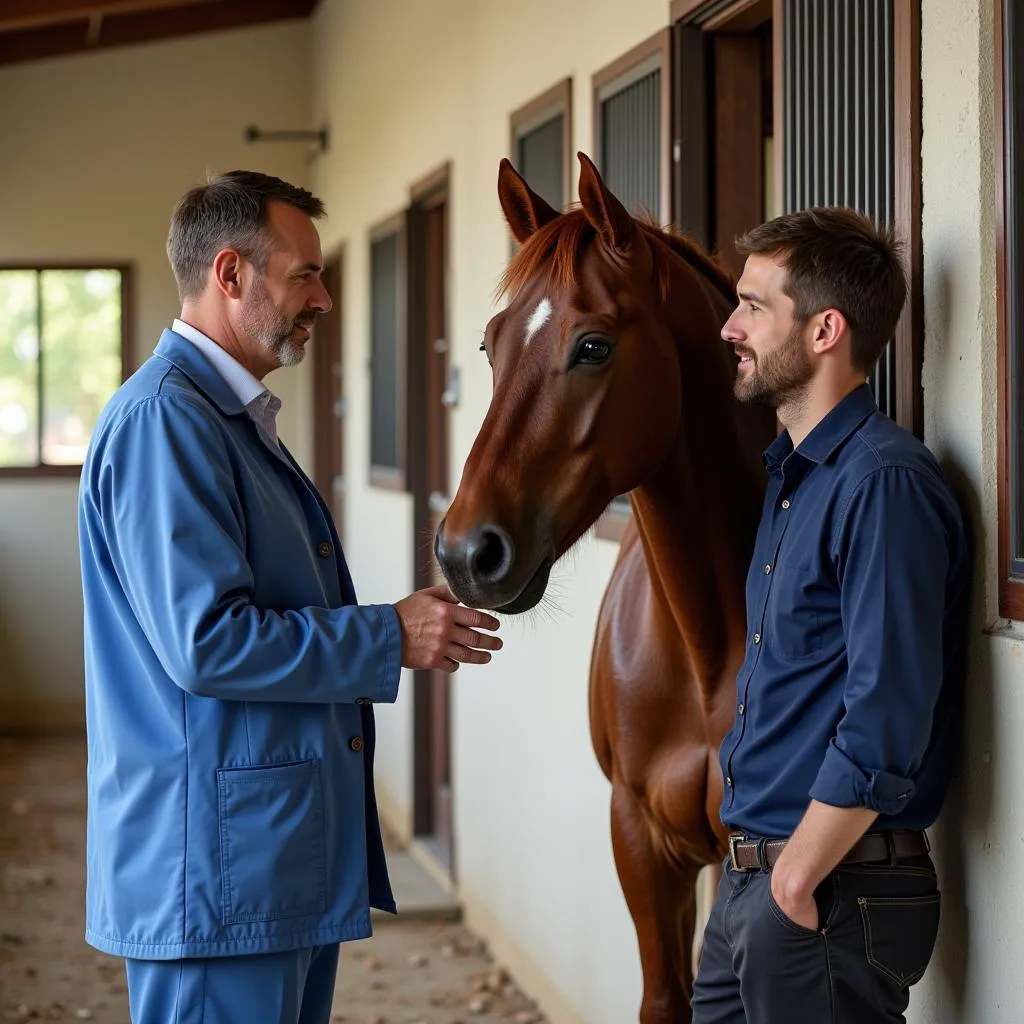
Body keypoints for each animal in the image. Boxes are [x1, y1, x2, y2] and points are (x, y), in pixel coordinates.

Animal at [432, 153, 774, 1024]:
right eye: (489, 345)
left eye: (592, 345)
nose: (465, 553)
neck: (708, 648)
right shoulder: (639, 841)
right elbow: (664, 999)